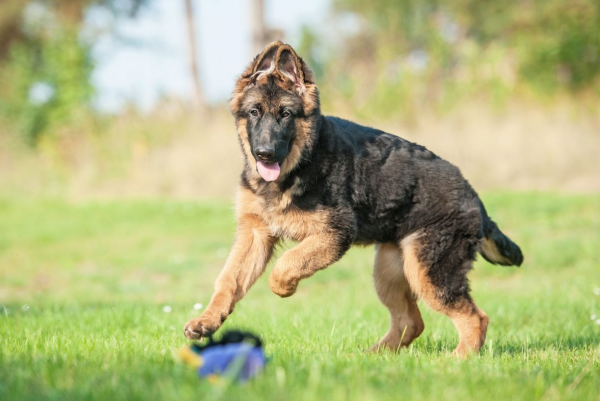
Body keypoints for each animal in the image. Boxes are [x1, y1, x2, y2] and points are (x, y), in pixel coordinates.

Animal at [184, 41, 524, 356]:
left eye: (286, 115)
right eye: (254, 112)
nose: (264, 154)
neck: (302, 161)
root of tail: (475, 198)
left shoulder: (334, 233)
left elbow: (287, 262)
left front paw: (283, 288)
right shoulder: (255, 234)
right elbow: (228, 280)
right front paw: (207, 321)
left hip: (429, 270)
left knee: (474, 317)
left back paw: (457, 360)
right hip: (390, 270)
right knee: (412, 322)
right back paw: (375, 356)